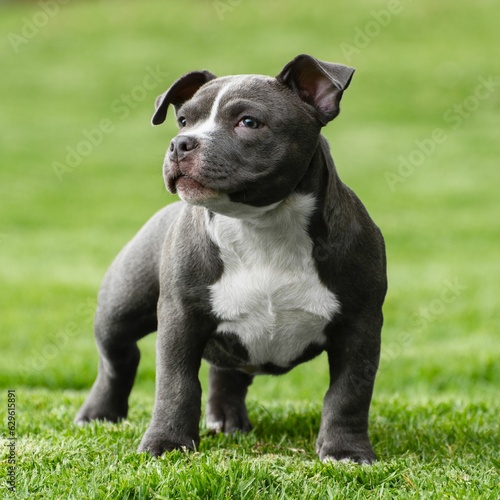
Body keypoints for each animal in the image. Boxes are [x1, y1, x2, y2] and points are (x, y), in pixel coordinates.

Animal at [75, 54, 386, 464]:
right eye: (183, 120)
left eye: (249, 122)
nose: (180, 144)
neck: (261, 227)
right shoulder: (181, 318)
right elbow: (176, 384)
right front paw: (166, 443)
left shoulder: (360, 326)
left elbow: (349, 392)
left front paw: (345, 450)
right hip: (119, 308)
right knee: (117, 360)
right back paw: (99, 414)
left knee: (227, 371)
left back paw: (226, 418)